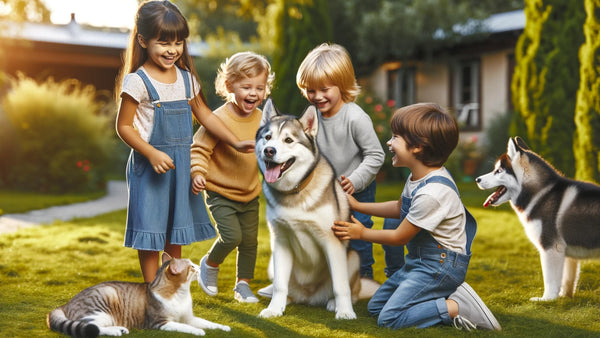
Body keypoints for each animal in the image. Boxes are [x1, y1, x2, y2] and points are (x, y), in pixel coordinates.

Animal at [45, 255, 230, 336]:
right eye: (191, 267)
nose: (198, 266)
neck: (181, 295)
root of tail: (65, 304)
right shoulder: (160, 323)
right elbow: (184, 327)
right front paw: (198, 331)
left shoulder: (189, 317)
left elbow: (208, 322)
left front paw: (224, 327)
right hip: (104, 303)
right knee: (92, 327)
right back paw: (115, 331)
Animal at [254, 98, 358, 320]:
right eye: (268, 137)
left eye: (289, 140)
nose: (269, 150)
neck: (295, 191)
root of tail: (308, 297)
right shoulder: (280, 241)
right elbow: (280, 285)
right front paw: (274, 309)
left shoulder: (332, 241)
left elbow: (340, 285)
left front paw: (345, 312)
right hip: (272, 263)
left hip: (353, 257)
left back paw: (333, 303)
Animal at [478, 137, 600, 302]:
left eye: (498, 171)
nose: (477, 179)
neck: (540, 193)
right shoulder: (566, 253)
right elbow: (567, 279)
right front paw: (564, 297)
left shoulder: (550, 247)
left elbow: (550, 279)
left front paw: (546, 299)